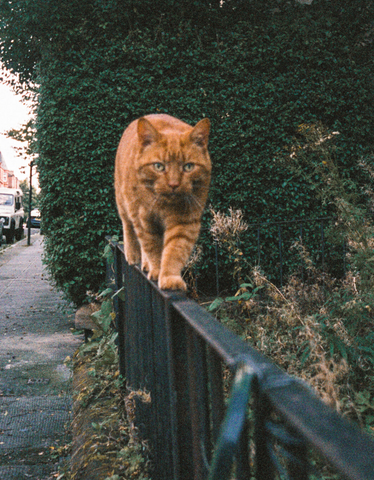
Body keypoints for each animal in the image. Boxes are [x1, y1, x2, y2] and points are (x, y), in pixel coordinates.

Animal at [114, 114, 212, 290]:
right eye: (159, 166)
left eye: (188, 167)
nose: (173, 184)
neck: (164, 206)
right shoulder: (144, 222)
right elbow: (153, 249)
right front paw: (157, 270)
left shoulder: (184, 223)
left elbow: (174, 251)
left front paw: (168, 278)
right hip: (123, 202)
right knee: (128, 227)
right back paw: (133, 255)